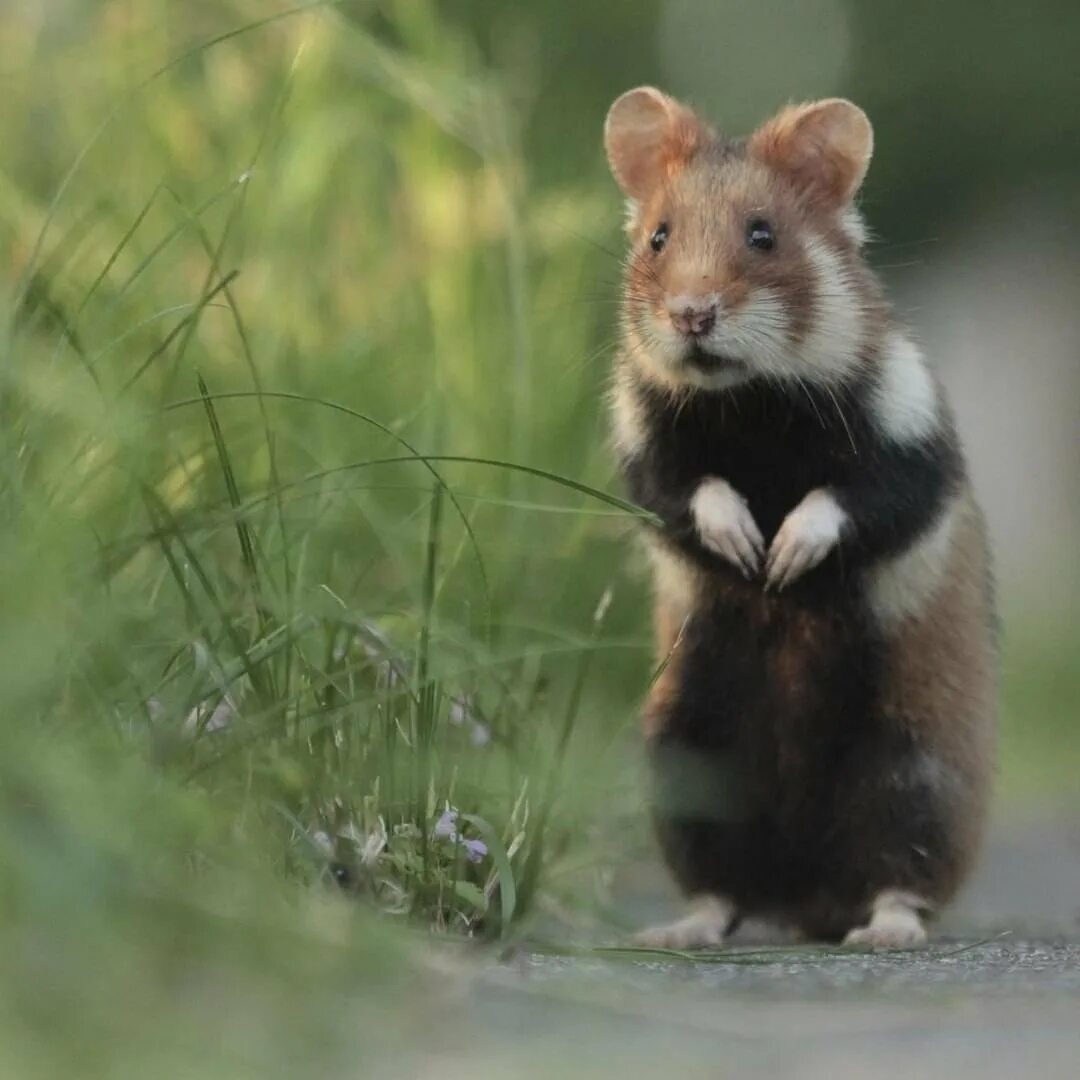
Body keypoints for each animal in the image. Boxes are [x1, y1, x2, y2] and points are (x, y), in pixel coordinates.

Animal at [604, 95, 997, 954]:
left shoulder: (911, 443)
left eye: (763, 234)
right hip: (685, 757)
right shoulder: (645, 451)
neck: (751, 399)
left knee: (901, 870)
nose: (692, 315)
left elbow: (850, 500)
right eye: (659, 236)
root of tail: (806, 898)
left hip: (917, 763)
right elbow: (691, 492)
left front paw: (781, 559)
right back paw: (675, 933)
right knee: (723, 886)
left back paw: (883, 933)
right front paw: (746, 548)